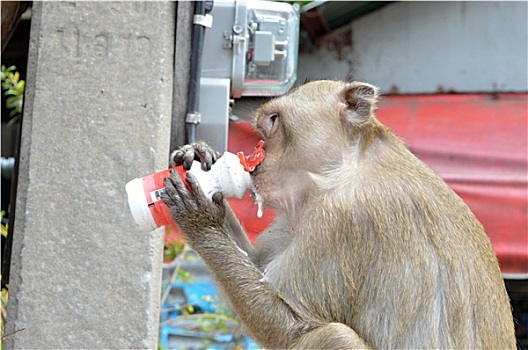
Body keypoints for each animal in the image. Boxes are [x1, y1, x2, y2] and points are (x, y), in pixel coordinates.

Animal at [162, 80, 516, 348]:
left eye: (274, 120)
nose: (257, 148)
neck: (347, 166)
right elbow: (255, 264)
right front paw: (198, 157)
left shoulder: (342, 218)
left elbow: (290, 324)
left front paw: (201, 220)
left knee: (335, 335)